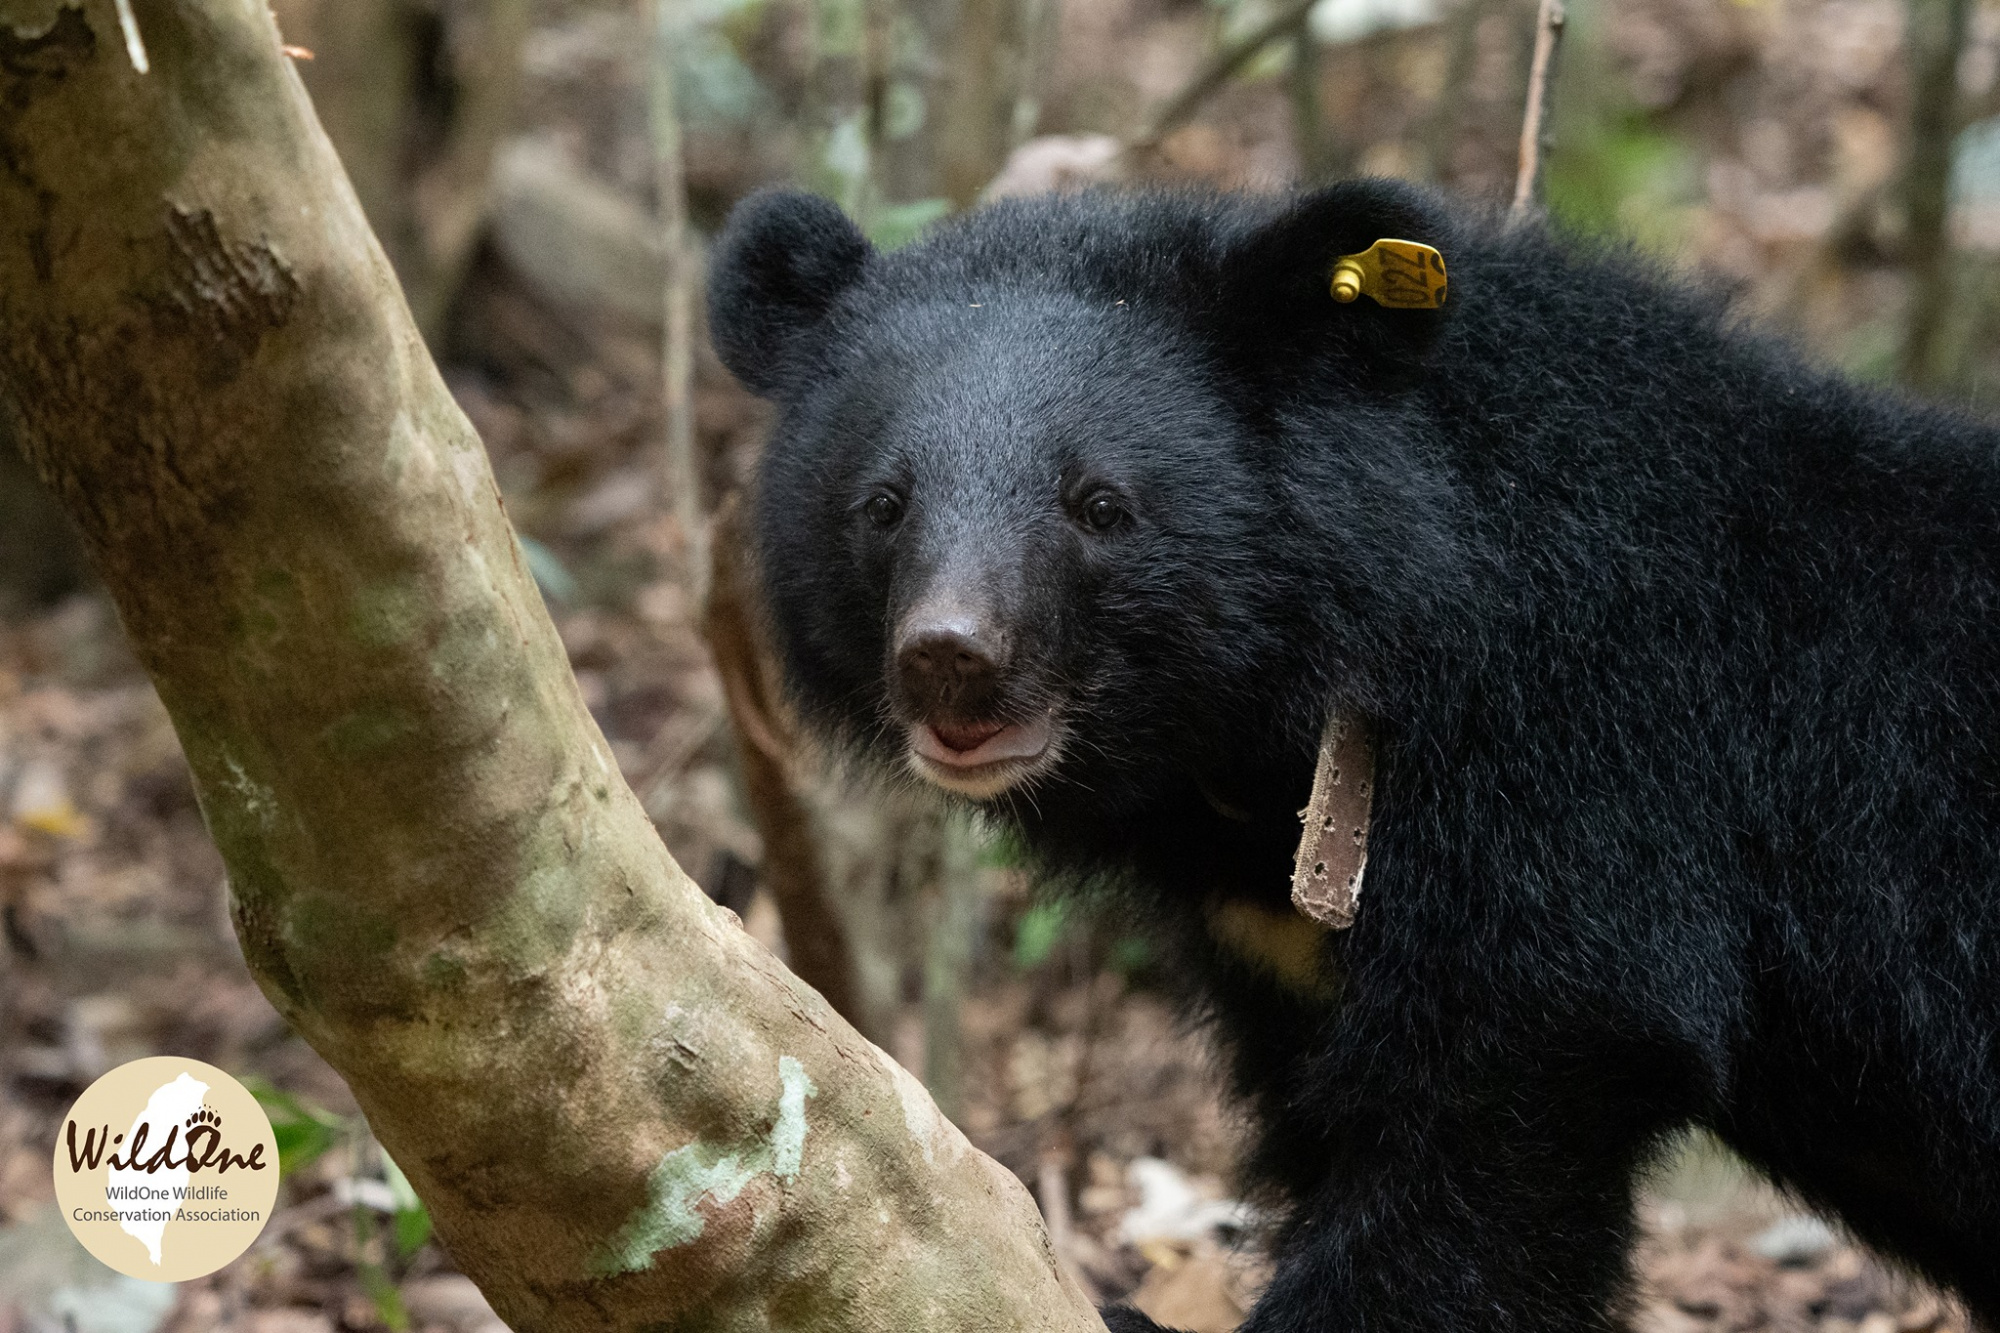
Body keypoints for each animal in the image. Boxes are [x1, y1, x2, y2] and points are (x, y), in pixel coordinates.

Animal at [704, 179, 2000, 1328]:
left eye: (1100, 505)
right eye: (881, 504)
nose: (950, 658)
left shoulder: (1580, 748)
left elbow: (1512, 1088)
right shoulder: (1278, 943)